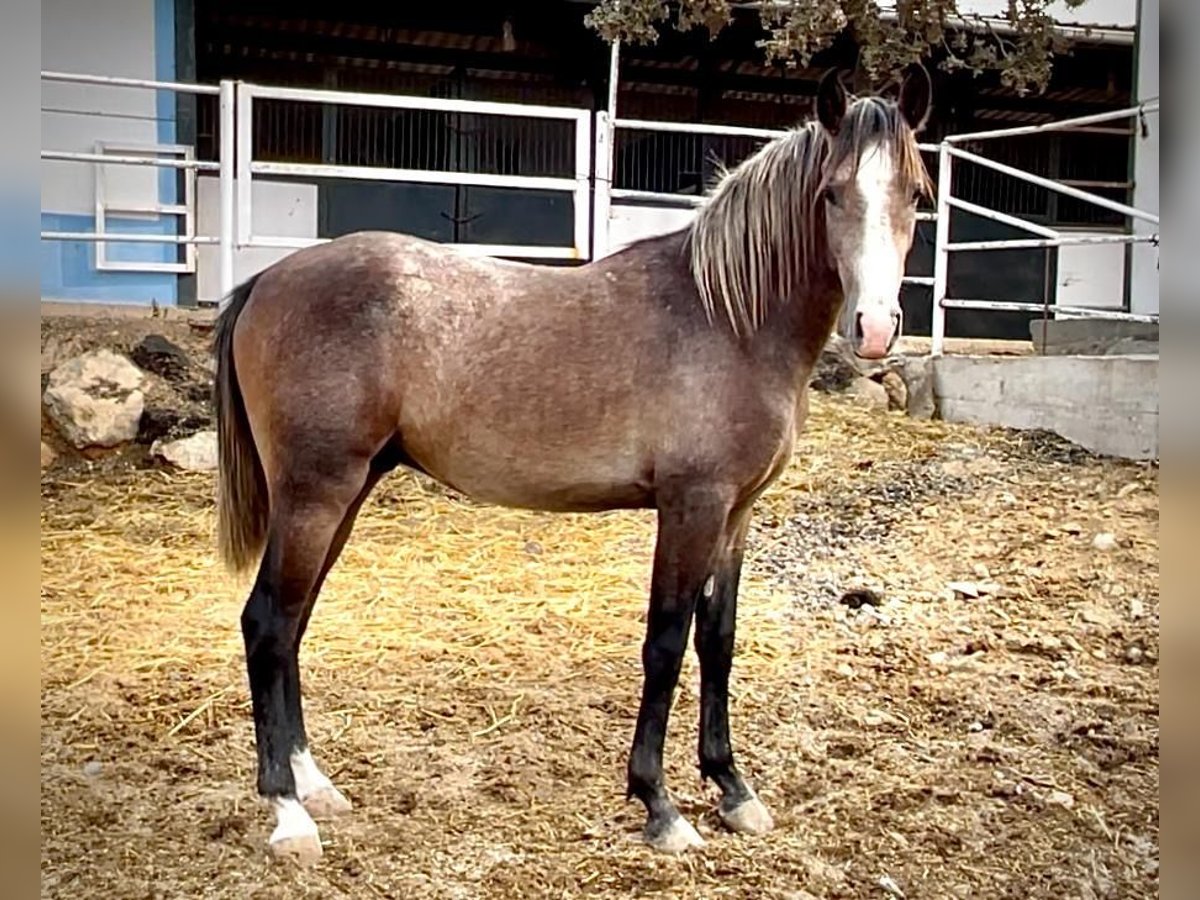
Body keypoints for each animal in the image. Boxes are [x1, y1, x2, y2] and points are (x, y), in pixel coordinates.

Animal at [211, 65, 931, 868]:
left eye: (917, 193)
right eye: (832, 193)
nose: (876, 327)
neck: (729, 317)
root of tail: (266, 281)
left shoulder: (737, 512)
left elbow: (718, 640)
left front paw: (732, 789)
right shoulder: (692, 506)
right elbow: (665, 643)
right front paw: (659, 806)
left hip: (346, 491)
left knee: (293, 624)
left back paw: (316, 786)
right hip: (315, 494)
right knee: (267, 622)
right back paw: (287, 811)